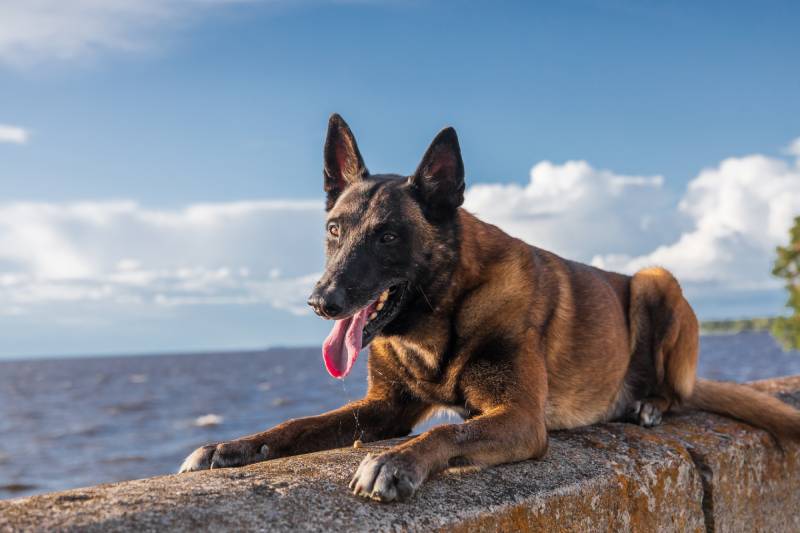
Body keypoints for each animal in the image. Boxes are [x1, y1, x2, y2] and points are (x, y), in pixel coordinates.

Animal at [180, 114, 800, 500]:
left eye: (387, 237)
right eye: (334, 230)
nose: (320, 302)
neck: (438, 316)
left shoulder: (520, 419)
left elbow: (444, 435)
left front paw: (394, 462)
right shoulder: (386, 408)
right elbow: (297, 424)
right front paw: (230, 446)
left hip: (656, 280)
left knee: (676, 391)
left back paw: (649, 404)